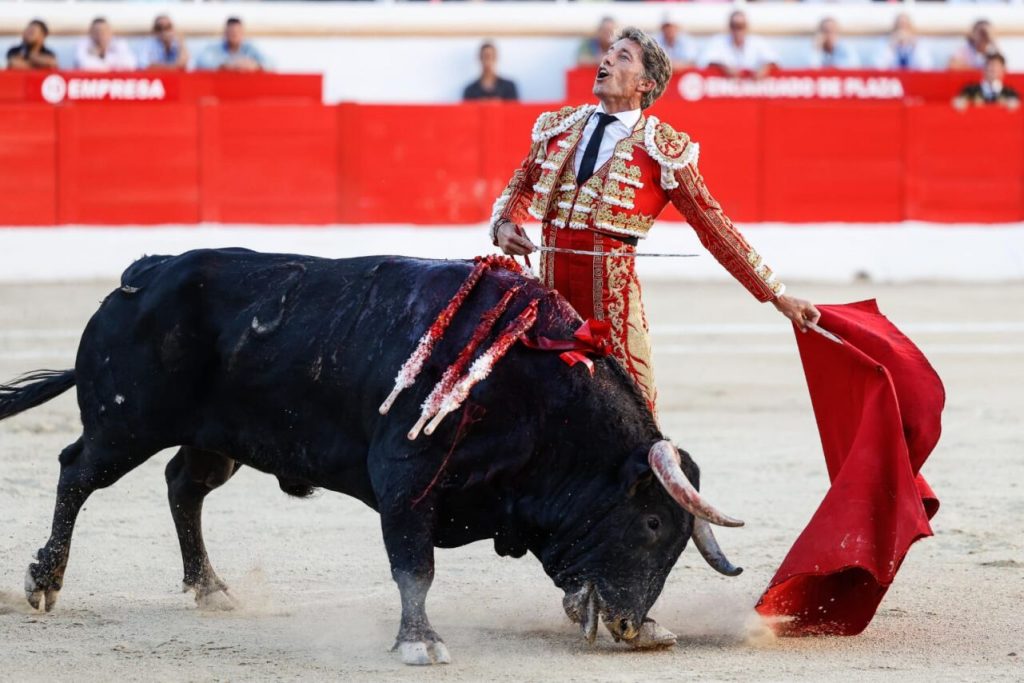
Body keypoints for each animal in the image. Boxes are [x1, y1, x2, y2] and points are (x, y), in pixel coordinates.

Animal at [0, 248, 741, 663]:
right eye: (652, 523)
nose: (633, 626)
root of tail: (143, 274)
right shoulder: (406, 482)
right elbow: (415, 568)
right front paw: (420, 642)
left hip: (213, 438)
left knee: (184, 483)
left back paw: (211, 586)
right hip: (126, 423)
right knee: (76, 472)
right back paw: (44, 579)